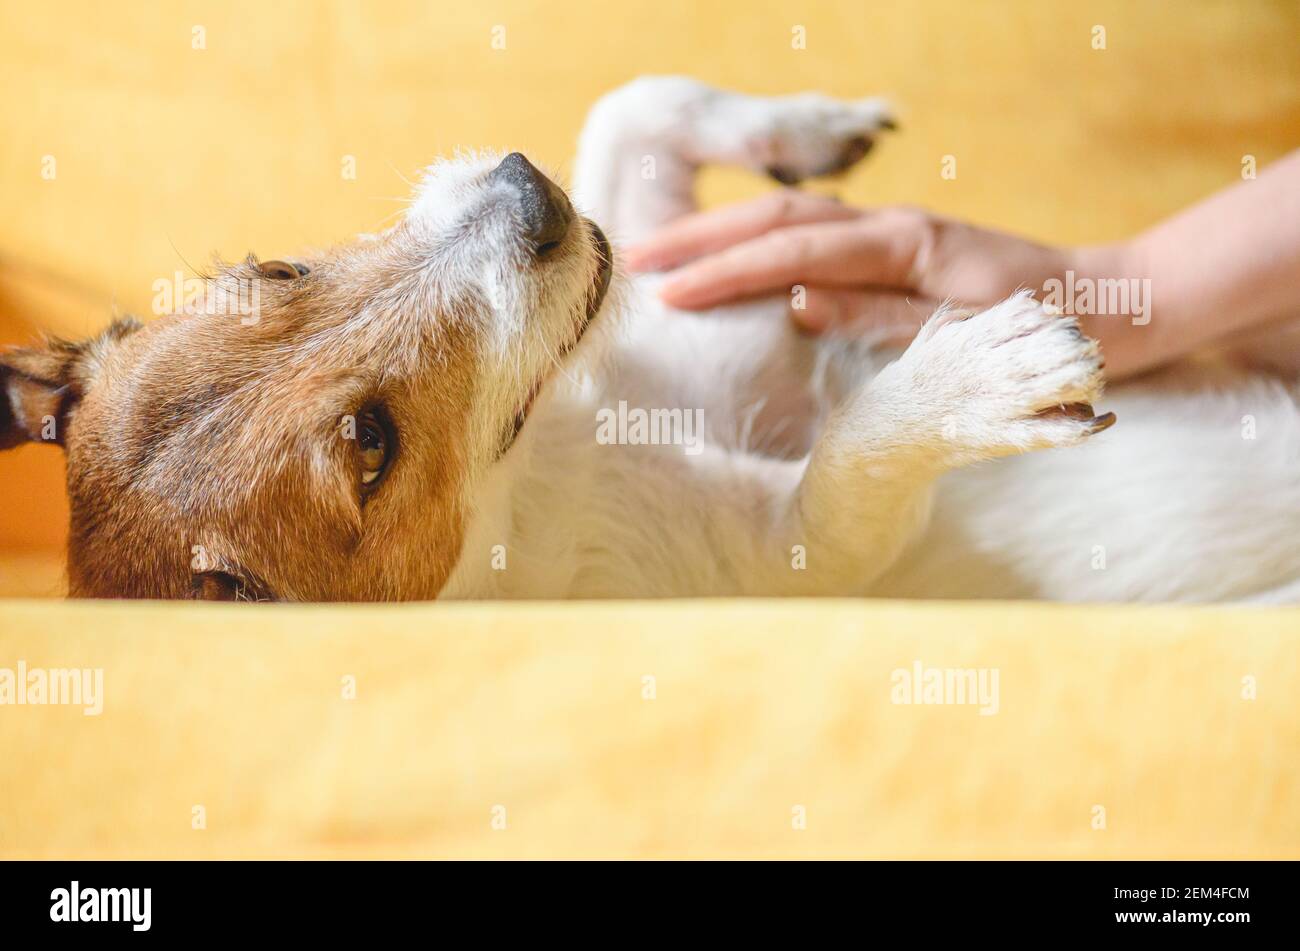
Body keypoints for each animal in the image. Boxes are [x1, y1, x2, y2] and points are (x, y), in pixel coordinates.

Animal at [2, 79, 1300, 602]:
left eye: (272, 272)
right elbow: (850, 463)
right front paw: (970, 380)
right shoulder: (794, 557)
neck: (546, 446)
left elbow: (635, 102)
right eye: (370, 442)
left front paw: (808, 130)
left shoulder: (663, 267)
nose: (528, 193)